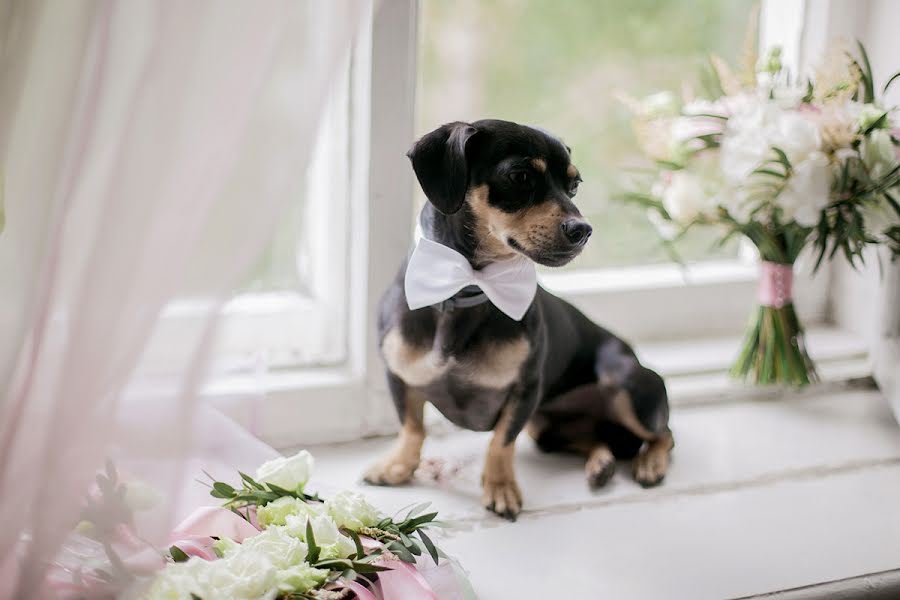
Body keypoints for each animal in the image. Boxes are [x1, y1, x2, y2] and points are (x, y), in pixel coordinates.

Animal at [362, 118, 672, 520]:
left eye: (573, 185)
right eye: (520, 176)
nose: (583, 230)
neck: (467, 286)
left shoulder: (525, 391)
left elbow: (500, 442)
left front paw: (500, 487)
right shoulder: (400, 378)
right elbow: (412, 427)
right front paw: (398, 466)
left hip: (622, 382)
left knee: (664, 435)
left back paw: (650, 463)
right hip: (546, 428)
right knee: (593, 439)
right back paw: (601, 463)